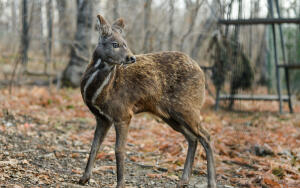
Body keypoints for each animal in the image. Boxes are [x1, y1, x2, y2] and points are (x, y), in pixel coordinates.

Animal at [78, 14, 217, 188]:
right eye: (115, 44)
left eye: (125, 43)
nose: (131, 57)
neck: (99, 92)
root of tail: (201, 72)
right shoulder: (102, 117)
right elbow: (94, 146)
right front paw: (84, 178)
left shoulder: (123, 113)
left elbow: (119, 149)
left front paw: (120, 184)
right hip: (169, 115)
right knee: (193, 138)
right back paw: (183, 180)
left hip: (188, 107)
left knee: (206, 136)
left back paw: (211, 182)